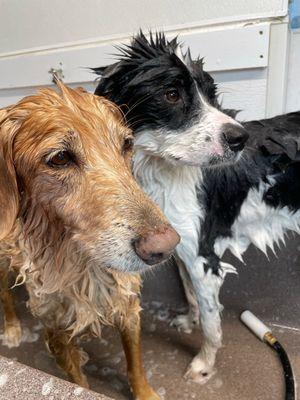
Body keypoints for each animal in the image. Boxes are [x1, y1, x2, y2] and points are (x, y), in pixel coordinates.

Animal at [0, 82, 179, 400]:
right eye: (60, 158)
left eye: (127, 144)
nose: (165, 247)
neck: (84, 263)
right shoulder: (56, 331)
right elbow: (77, 381)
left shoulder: (128, 304)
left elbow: (135, 365)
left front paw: (145, 393)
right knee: (4, 295)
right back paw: (11, 328)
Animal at [93, 32, 300, 382]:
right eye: (171, 94)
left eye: (211, 94)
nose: (240, 138)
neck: (161, 172)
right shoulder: (179, 246)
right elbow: (191, 294)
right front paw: (189, 321)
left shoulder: (204, 257)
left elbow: (211, 320)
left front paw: (204, 365)